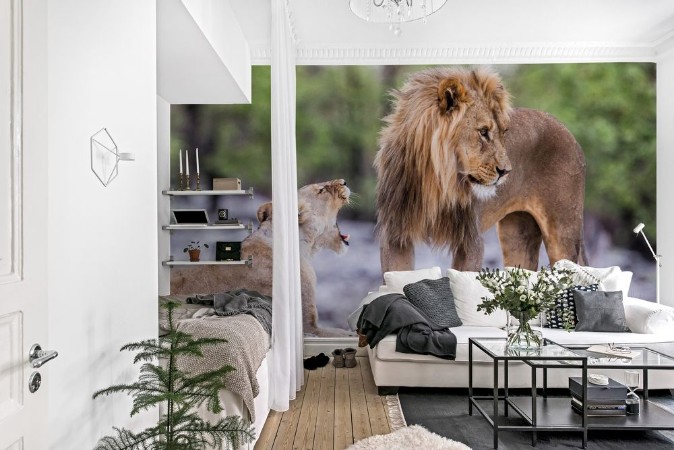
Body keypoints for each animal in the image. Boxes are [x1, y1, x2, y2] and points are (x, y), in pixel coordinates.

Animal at [376, 66, 584, 270]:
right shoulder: (395, 236)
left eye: (504, 132)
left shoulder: (470, 240)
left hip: (563, 233)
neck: (435, 181)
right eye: (483, 132)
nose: (506, 171)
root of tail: (568, 132)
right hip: (517, 234)